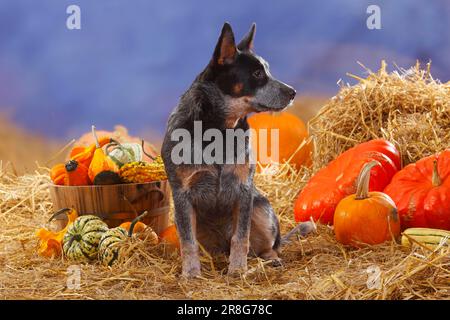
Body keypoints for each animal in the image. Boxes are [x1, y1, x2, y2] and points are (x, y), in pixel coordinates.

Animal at [162, 23, 312, 278]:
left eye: (267, 70)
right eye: (257, 74)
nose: (293, 92)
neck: (219, 130)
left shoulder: (244, 189)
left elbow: (241, 237)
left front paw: (238, 270)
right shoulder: (182, 193)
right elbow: (188, 242)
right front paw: (191, 274)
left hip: (261, 209)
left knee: (269, 245)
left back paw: (270, 259)